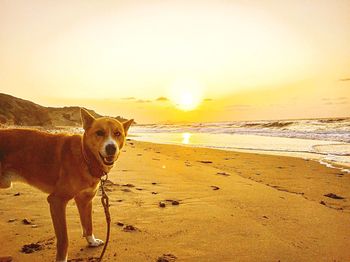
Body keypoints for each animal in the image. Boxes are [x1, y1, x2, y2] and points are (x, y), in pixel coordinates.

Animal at [0, 109, 133, 262]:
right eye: (99, 132)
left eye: (117, 133)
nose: (111, 148)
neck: (85, 157)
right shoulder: (56, 201)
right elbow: (64, 240)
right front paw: (62, 258)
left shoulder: (85, 200)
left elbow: (88, 224)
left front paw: (92, 241)